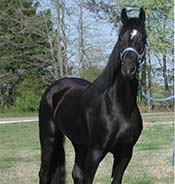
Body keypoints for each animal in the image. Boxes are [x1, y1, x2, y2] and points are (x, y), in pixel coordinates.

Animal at [38, 7, 146, 183]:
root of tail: (53, 90)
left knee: (76, 174)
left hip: (80, 144)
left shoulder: (125, 153)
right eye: (120, 38)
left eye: (142, 39)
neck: (119, 107)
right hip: (49, 139)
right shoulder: (95, 152)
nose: (128, 69)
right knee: (44, 173)